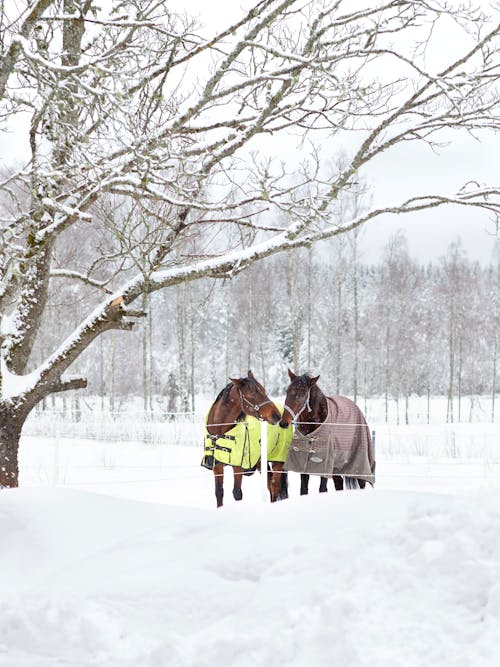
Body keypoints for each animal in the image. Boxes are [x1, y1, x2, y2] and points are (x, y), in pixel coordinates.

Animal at [202, 374, 284, 508]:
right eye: (252, 393)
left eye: (263, 390)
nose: (276, 416)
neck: (220, 430)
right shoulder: (217, 466)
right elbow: (219, 492)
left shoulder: (238, 467)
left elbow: (237, 493)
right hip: (262, 463)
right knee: (270, 486)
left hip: (278, 461)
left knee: (275, 486)